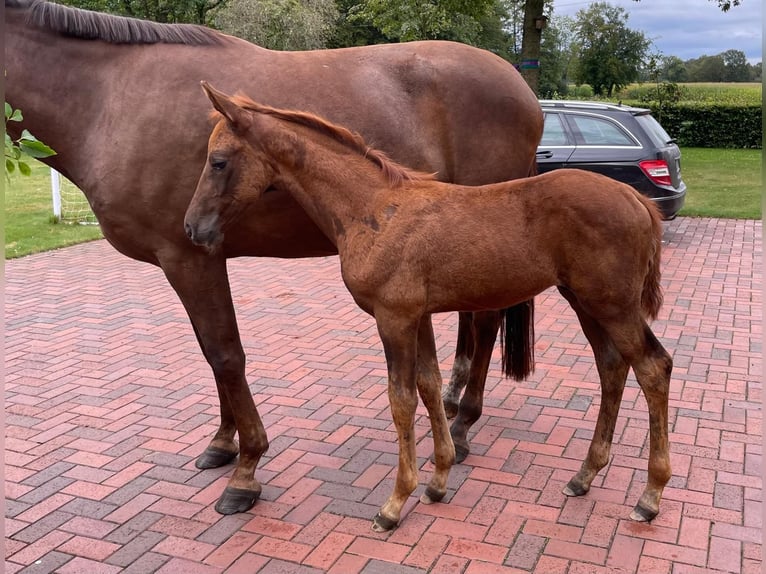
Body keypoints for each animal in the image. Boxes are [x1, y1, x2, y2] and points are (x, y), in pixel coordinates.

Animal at [7, 0, 544, 516]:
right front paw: (222, 444)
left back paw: (464, 425)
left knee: (487, 319)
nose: (194, 222)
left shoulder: (188, 258)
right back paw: (452, 403)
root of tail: (521, 87)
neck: (109, 97)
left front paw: (245, 470)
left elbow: (225, 354)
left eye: (219, 163)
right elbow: (212, 353)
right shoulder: (200, 257)